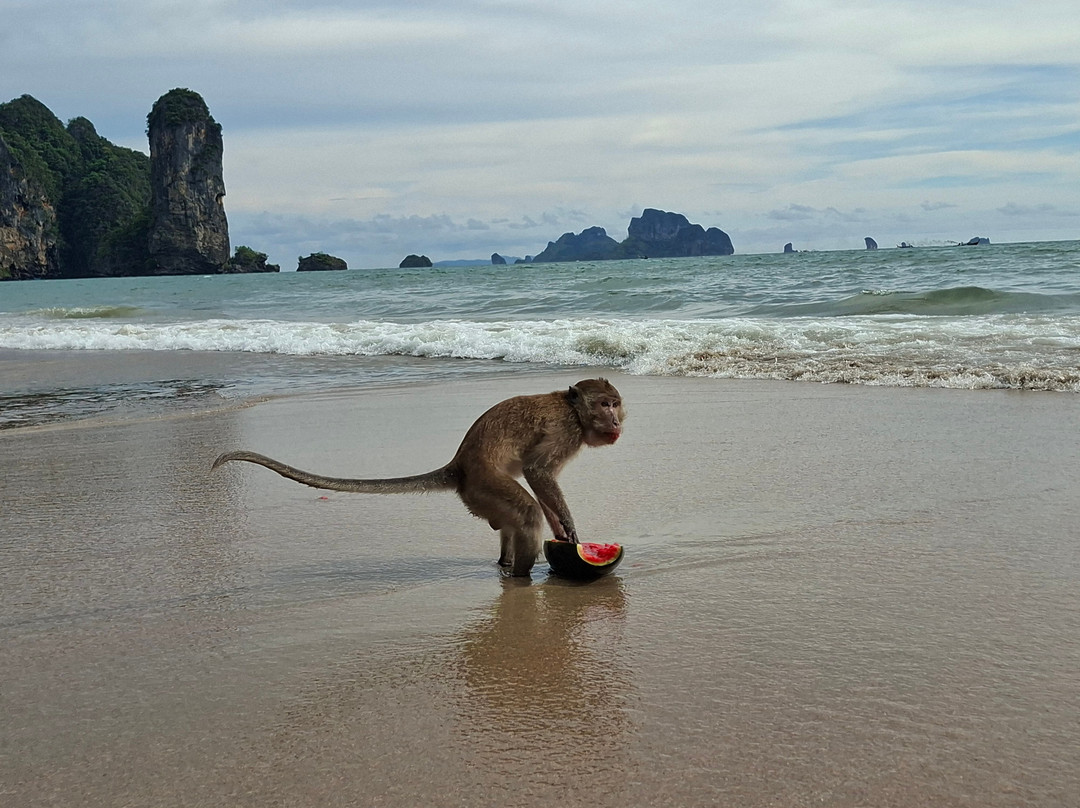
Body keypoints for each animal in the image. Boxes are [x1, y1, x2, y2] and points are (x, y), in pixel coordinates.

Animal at [212, 378, 625, 576]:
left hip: (481, 495)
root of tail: (458, 465)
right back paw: (523, 577)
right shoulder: (563, 432)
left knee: (514, 519)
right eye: (605, 404)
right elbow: (537, 472)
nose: (617, 421)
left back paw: (507, 566)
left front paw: (564, 533)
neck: (574, 412)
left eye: (616, 404)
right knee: (525, 512)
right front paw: (569, 531)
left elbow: (541, 480)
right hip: (483, 487)